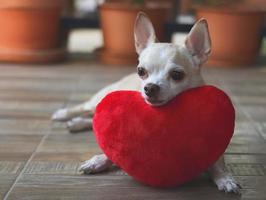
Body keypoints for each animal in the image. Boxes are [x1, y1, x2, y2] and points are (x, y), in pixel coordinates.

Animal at [52, 12, 241, 192]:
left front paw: (225, 179)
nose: (150, 87)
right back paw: (65, 114)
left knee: (94, 118)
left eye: (177, 75)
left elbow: (218, 164)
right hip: (99, 100)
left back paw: (76, 123)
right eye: (141, 71)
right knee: (85, 108)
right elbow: (114, 151)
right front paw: (97, 161)